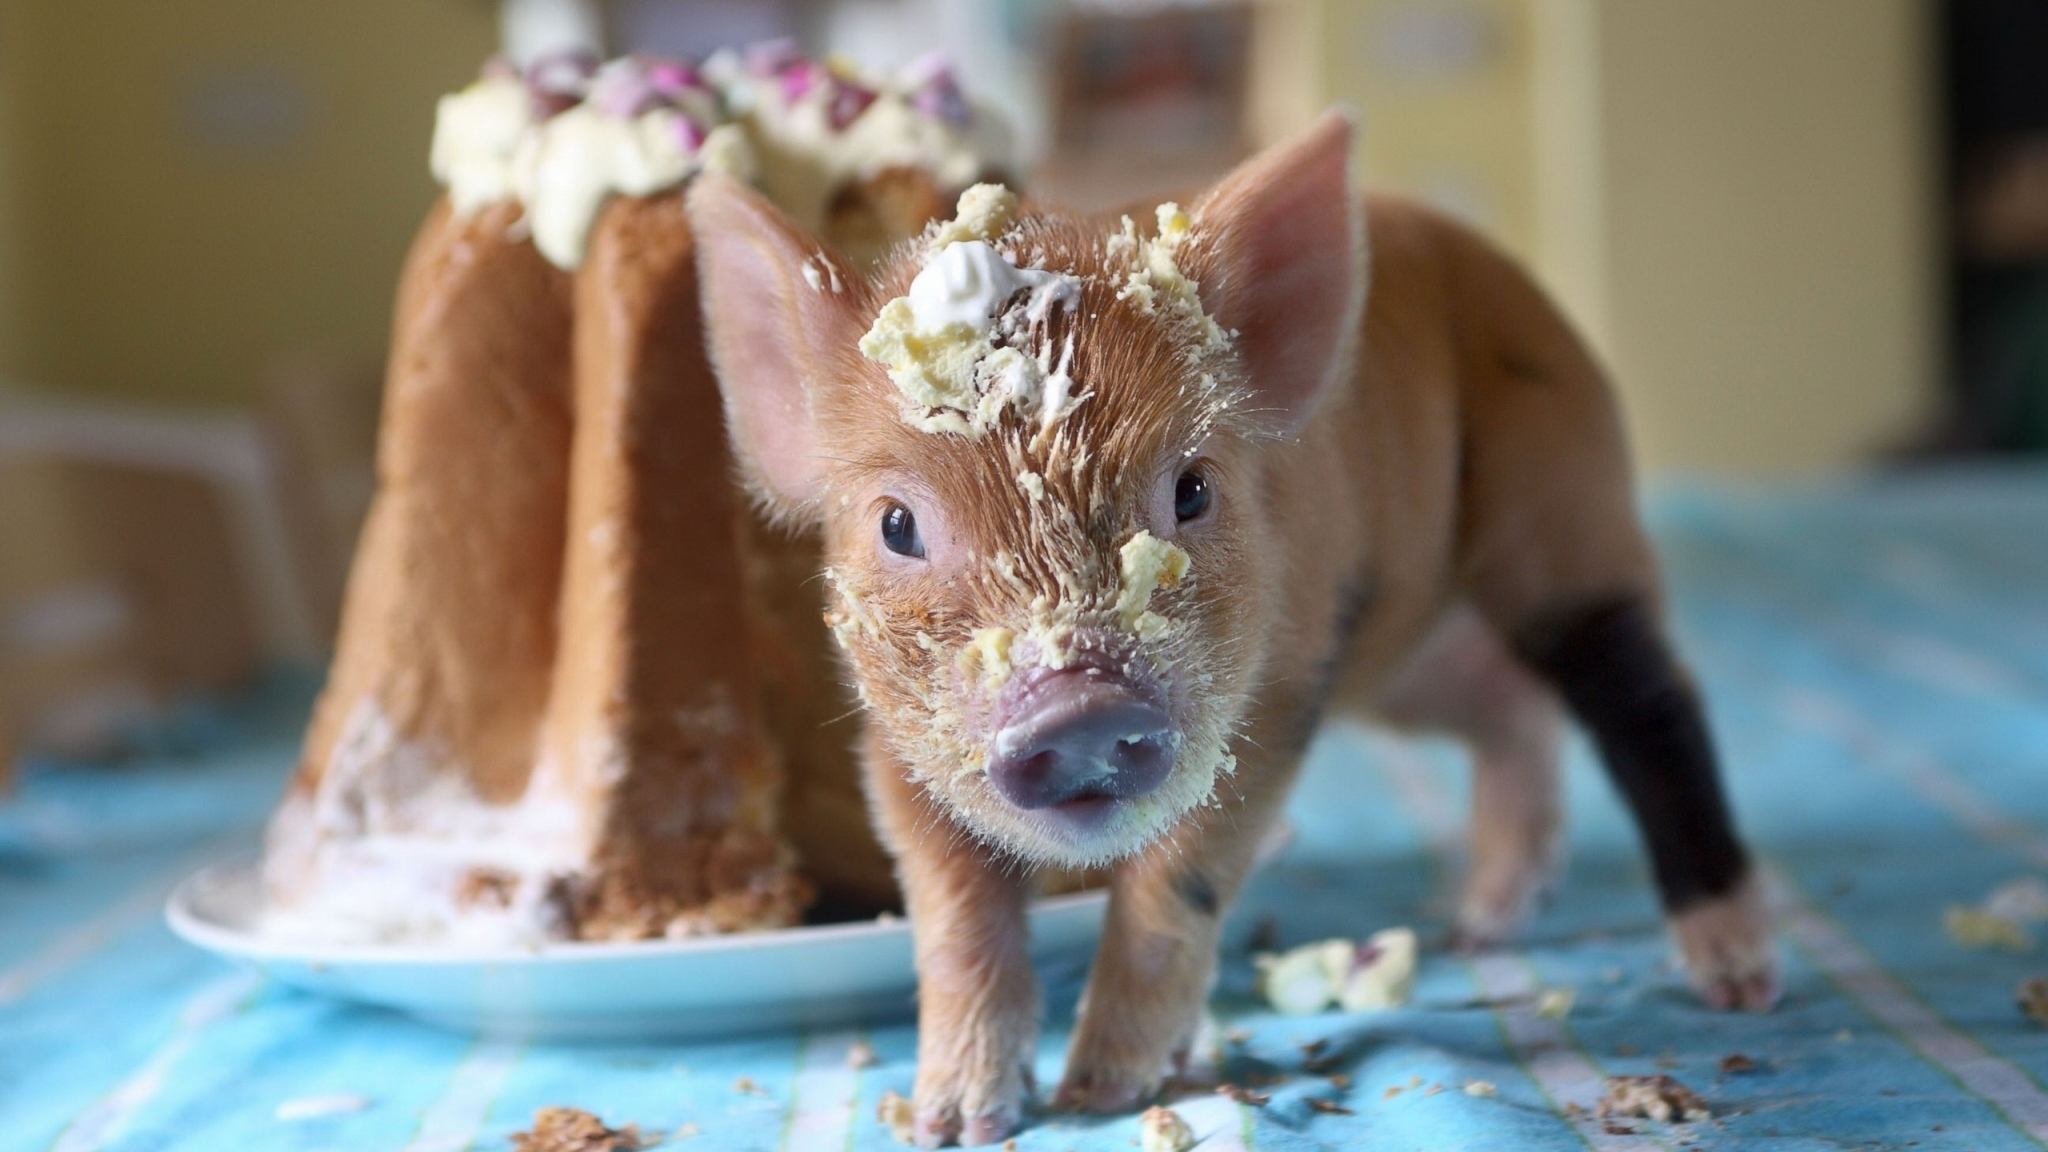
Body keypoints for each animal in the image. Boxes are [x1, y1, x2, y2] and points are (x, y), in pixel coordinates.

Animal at [688, 111, 1777, 1147]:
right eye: (896, 524)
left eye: (1192, 489)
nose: (1078, 704)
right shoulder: (892, 742)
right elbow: (954, 914)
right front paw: (956, 1124)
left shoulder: (1275, 696)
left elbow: (1180, 883)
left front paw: (1103, 1094)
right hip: (1401, 648)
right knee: (1510, 707)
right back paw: (1480, 928)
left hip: (1561, 500)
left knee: (1642, 698)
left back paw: (1734, 981)